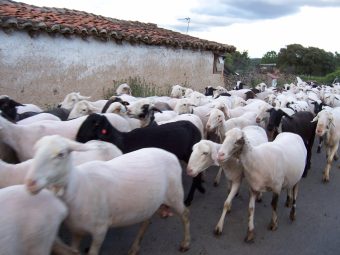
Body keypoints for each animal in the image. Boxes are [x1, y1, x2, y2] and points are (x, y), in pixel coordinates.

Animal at [25, 135, 191, 255]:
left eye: (61, 154)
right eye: (36, 150)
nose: (30, 183)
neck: (79, 186)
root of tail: (169, 154)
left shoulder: (100, 230)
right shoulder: (76, 232)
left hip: (174, 195)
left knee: (185, 214)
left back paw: (185, 243)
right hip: (150, 201)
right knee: (146, 221)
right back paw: (135, 247)